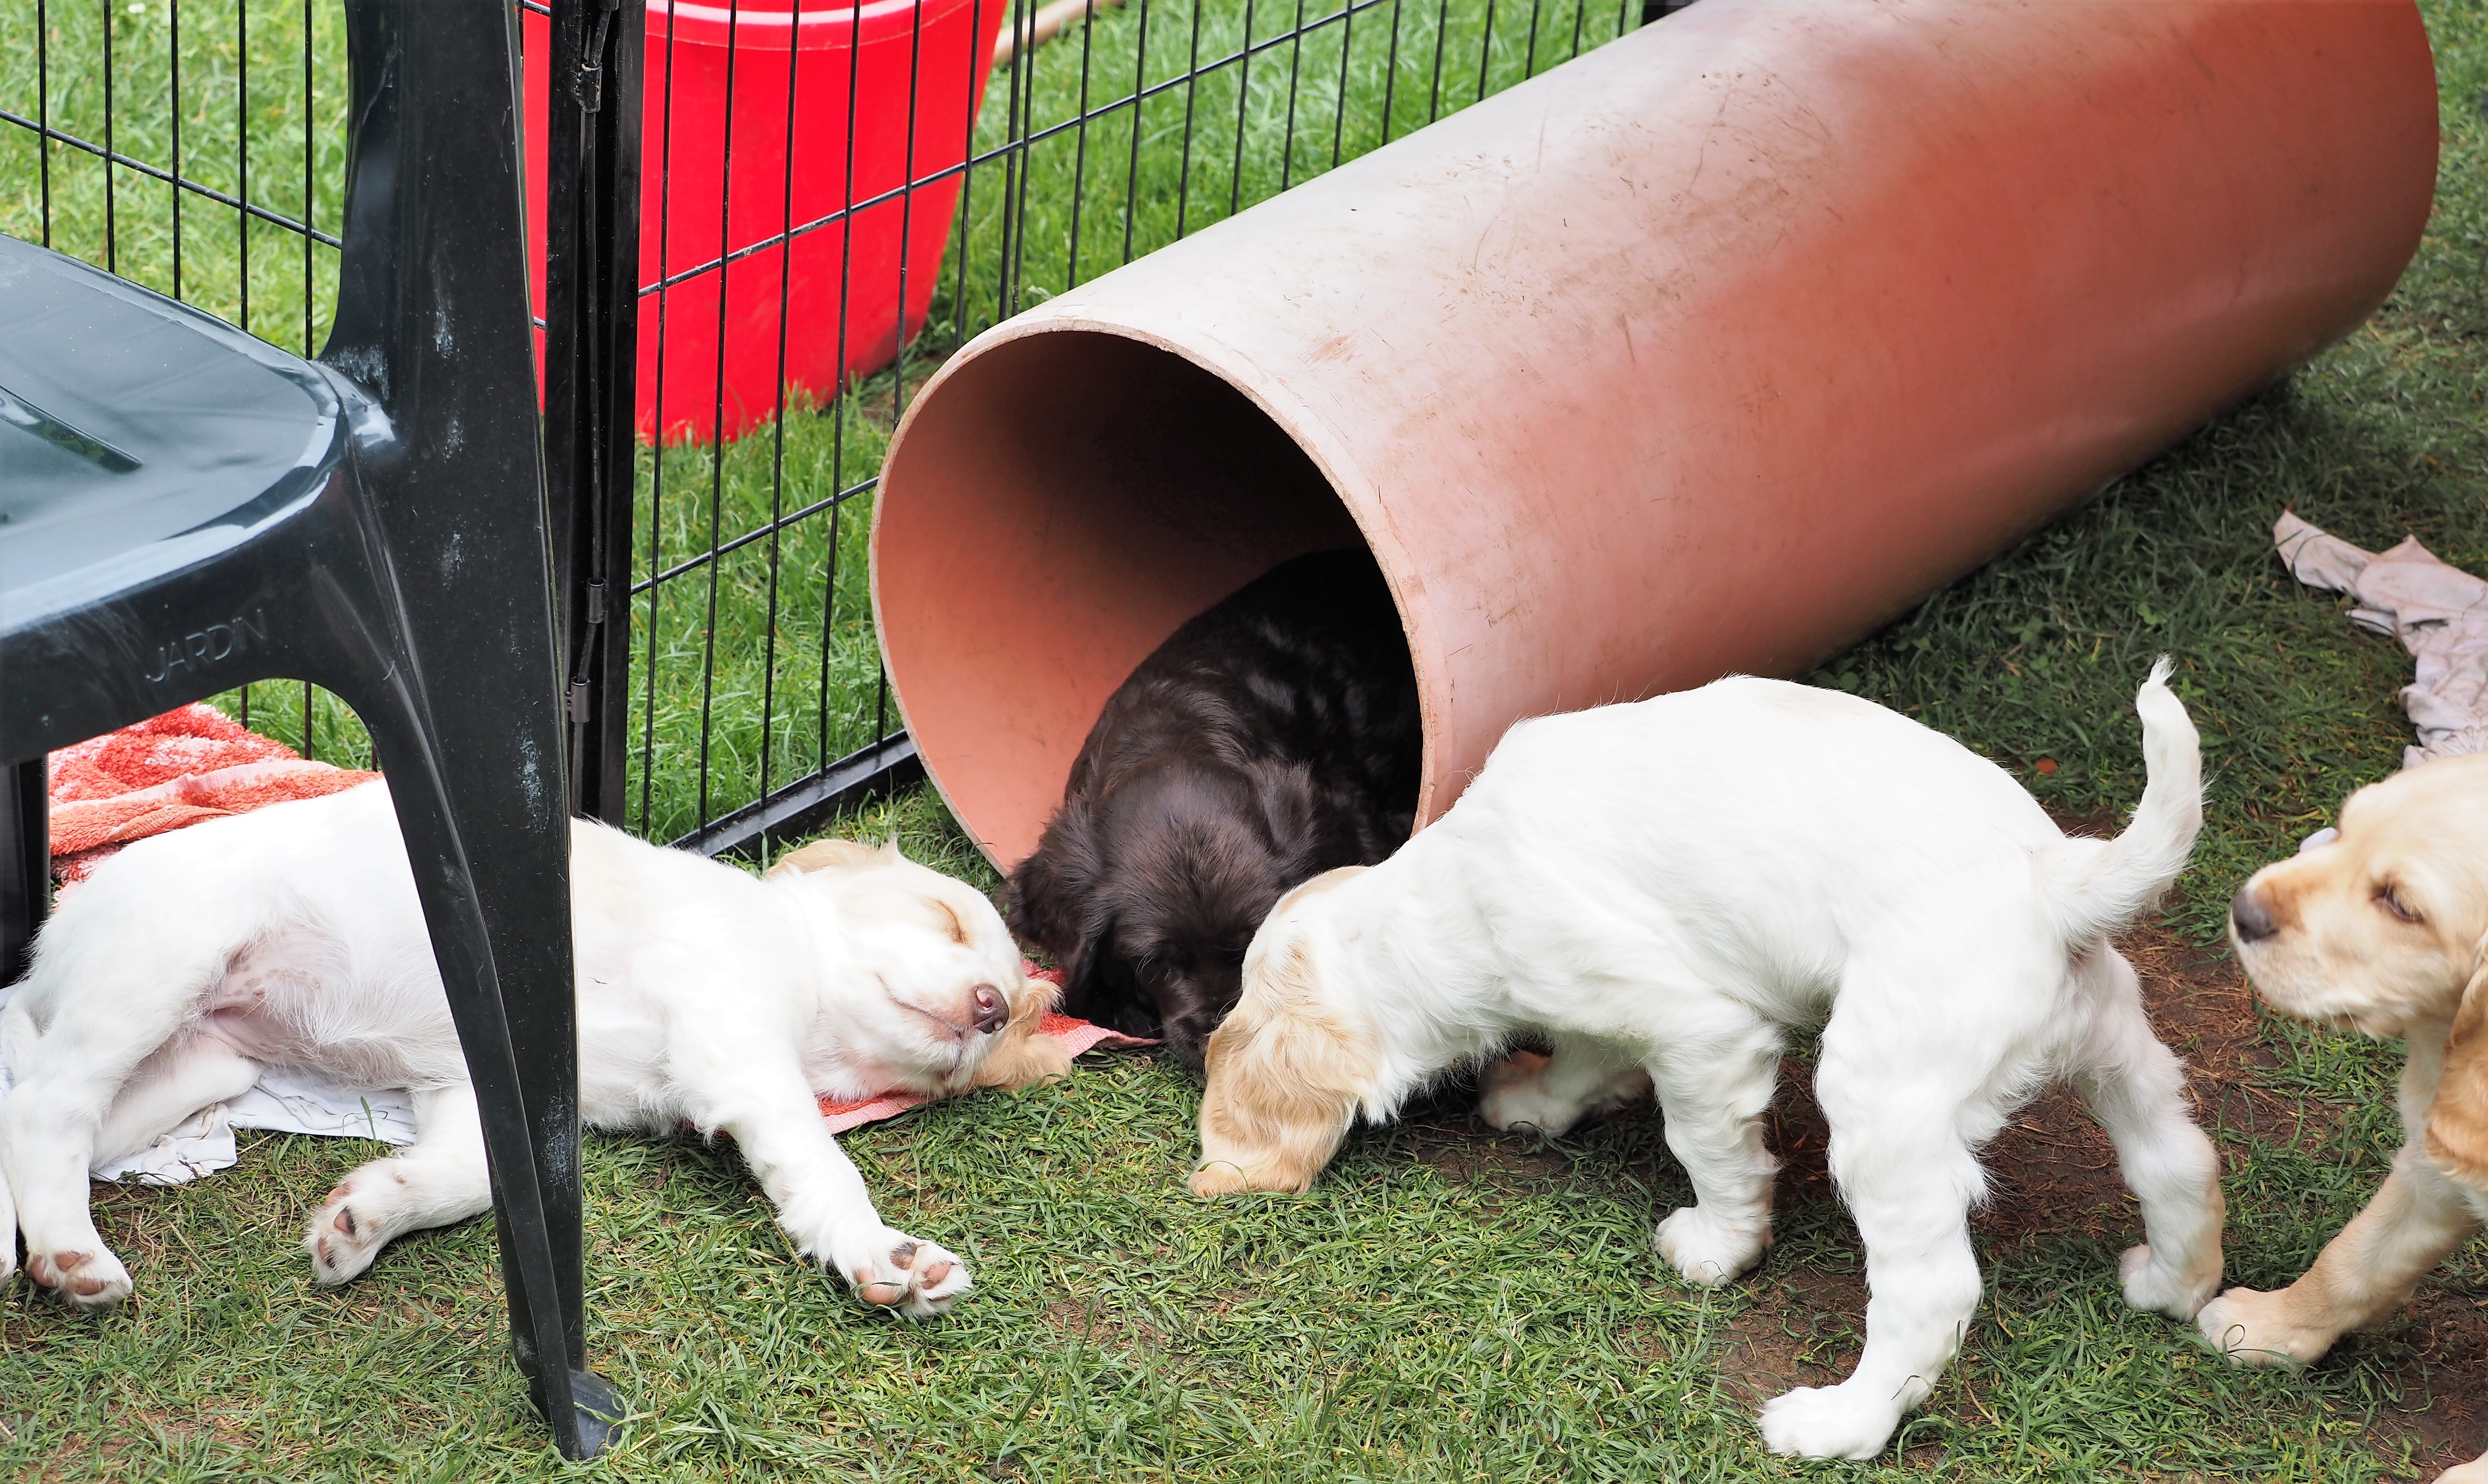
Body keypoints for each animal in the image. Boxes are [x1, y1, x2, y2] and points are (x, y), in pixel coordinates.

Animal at [0, 780, 1060, 1312]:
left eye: (1004, 1009)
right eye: (944, 919)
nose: (986, 1006)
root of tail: (47, 948)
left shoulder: (482, 1087)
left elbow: (464, 1177)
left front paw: (365, 1217)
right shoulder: (733, 1040)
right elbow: (822, 1165)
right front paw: (887, 1255)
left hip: (198, 1063)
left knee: (33, 1120)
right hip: (164, 964)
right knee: (49, 1103)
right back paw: (72, 1255)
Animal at [1184, 661, 2219, 1461]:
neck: (1444, 896)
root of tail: (2055, 882)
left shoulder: (1701, 1031)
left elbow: (1707, 1149)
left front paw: (1719, 1248)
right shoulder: (1604, 1005)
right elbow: (1580, 1058)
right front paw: (1535, 1101)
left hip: (1881, 1093)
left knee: (1929, 1288)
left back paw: (1837, 1425)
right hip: (2109, 1038)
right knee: (2178, 1158)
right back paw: (2174, 1284)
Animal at [2199, 750, 2488, 1481]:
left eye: (2401, 904)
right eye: (2345, 828)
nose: (2244, 910)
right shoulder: (2434, 1173)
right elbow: (2351, 1259)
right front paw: (2267, 1327)